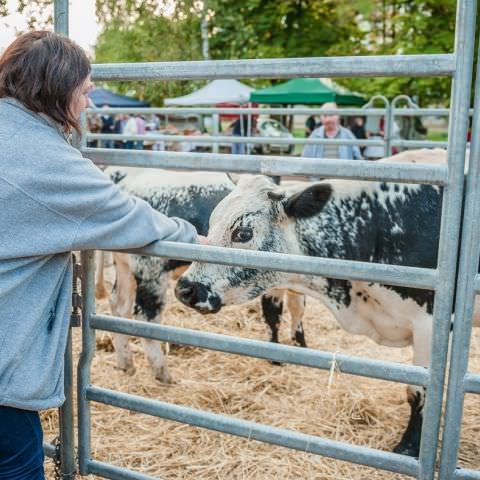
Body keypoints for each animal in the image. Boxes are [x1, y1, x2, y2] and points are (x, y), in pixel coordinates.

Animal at [100, 167, 308, 384]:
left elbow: (297, 308)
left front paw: (300, 344)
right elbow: (273, 313)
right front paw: (276, 356)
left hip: (125, 268)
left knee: (119, 306)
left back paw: (126, 364)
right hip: (151, 274)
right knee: (146, 318)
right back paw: (163, 374)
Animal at [175, 150, 480, 458]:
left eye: (243, 233)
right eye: (212, 223)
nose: (185, 288)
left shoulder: (429, 325)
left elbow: (419, 391)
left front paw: (410, 446)